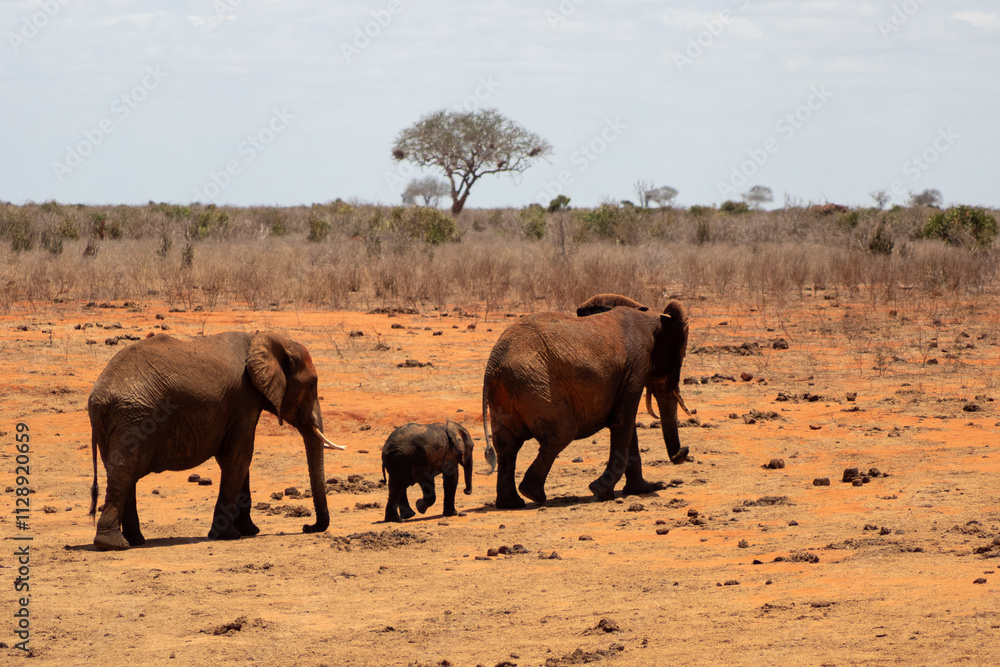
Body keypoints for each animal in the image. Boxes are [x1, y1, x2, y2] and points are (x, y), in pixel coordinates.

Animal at [87, 331, 344, 551]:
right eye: (312, 385)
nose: (307, 527)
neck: (264, 338)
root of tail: (99, 398)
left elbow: (237, 460)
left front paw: (250, 531)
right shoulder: (244, 400)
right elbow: (239, 457)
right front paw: (229, 535)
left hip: (120, 422)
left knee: (123, 474)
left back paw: (136, 541)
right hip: (133, 419)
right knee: (124, 473)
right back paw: (113, 545)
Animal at [481, 295, 690, 509]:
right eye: (681, 356)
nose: (684, 452)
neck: (652, 316)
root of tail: (494, 361)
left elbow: (627, 425)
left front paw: (641, 490)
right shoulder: (637, 364)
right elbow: (622, 421)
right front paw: (602, 492)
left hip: (511, 389)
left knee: (506, 444)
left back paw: (511, 503)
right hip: (533, 383)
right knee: (561, 433)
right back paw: (533, 495)